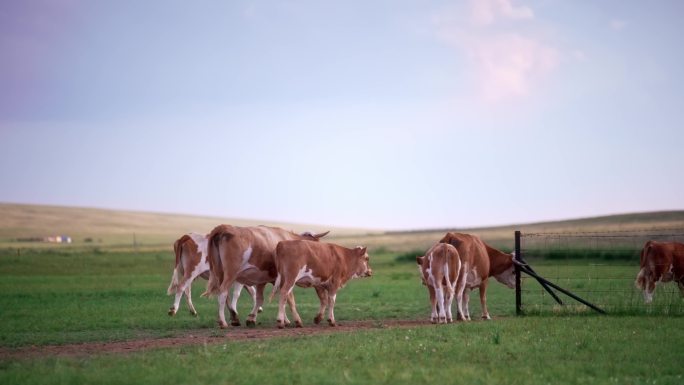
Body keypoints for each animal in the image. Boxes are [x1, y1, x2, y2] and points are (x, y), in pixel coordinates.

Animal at [200, 225, 328, 328]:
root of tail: (224, 227)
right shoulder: (286, 278)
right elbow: (289, 299)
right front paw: (295, 320)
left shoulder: (263, 280)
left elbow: (260, 299)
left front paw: (252, 318)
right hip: (231, 273)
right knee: (223, 293)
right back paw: (223, 322)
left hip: (219, 273)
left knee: (223, 294)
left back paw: (234, 318)